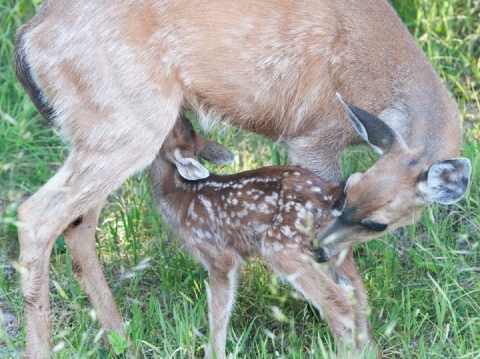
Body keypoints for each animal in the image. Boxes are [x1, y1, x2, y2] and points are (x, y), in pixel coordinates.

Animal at [14, 0, 468, 358]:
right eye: (346, 193)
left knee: (78, 225)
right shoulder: (313, 137)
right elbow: (346, 265)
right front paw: (356, 343)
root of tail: (29, 34)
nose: (316, 251)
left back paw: (123, 340)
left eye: (378, 222)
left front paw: (367, 344)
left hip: (103, 130)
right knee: (37, 215)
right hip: (126, 124)